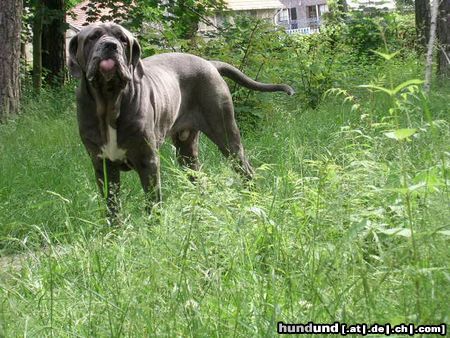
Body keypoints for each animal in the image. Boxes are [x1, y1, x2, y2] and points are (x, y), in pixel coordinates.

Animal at [68, 22, 294, 220]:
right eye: (93, 37)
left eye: (123, 39)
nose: (111, 46)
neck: (109, 99)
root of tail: (209, 63)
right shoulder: (102, 165)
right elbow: (112, 207)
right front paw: (114, 233)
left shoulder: (148, 160)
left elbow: (153, 202)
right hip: (186, 153)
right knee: (200, 179)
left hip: (227, 137)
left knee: (246, 170)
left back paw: (254, 202)